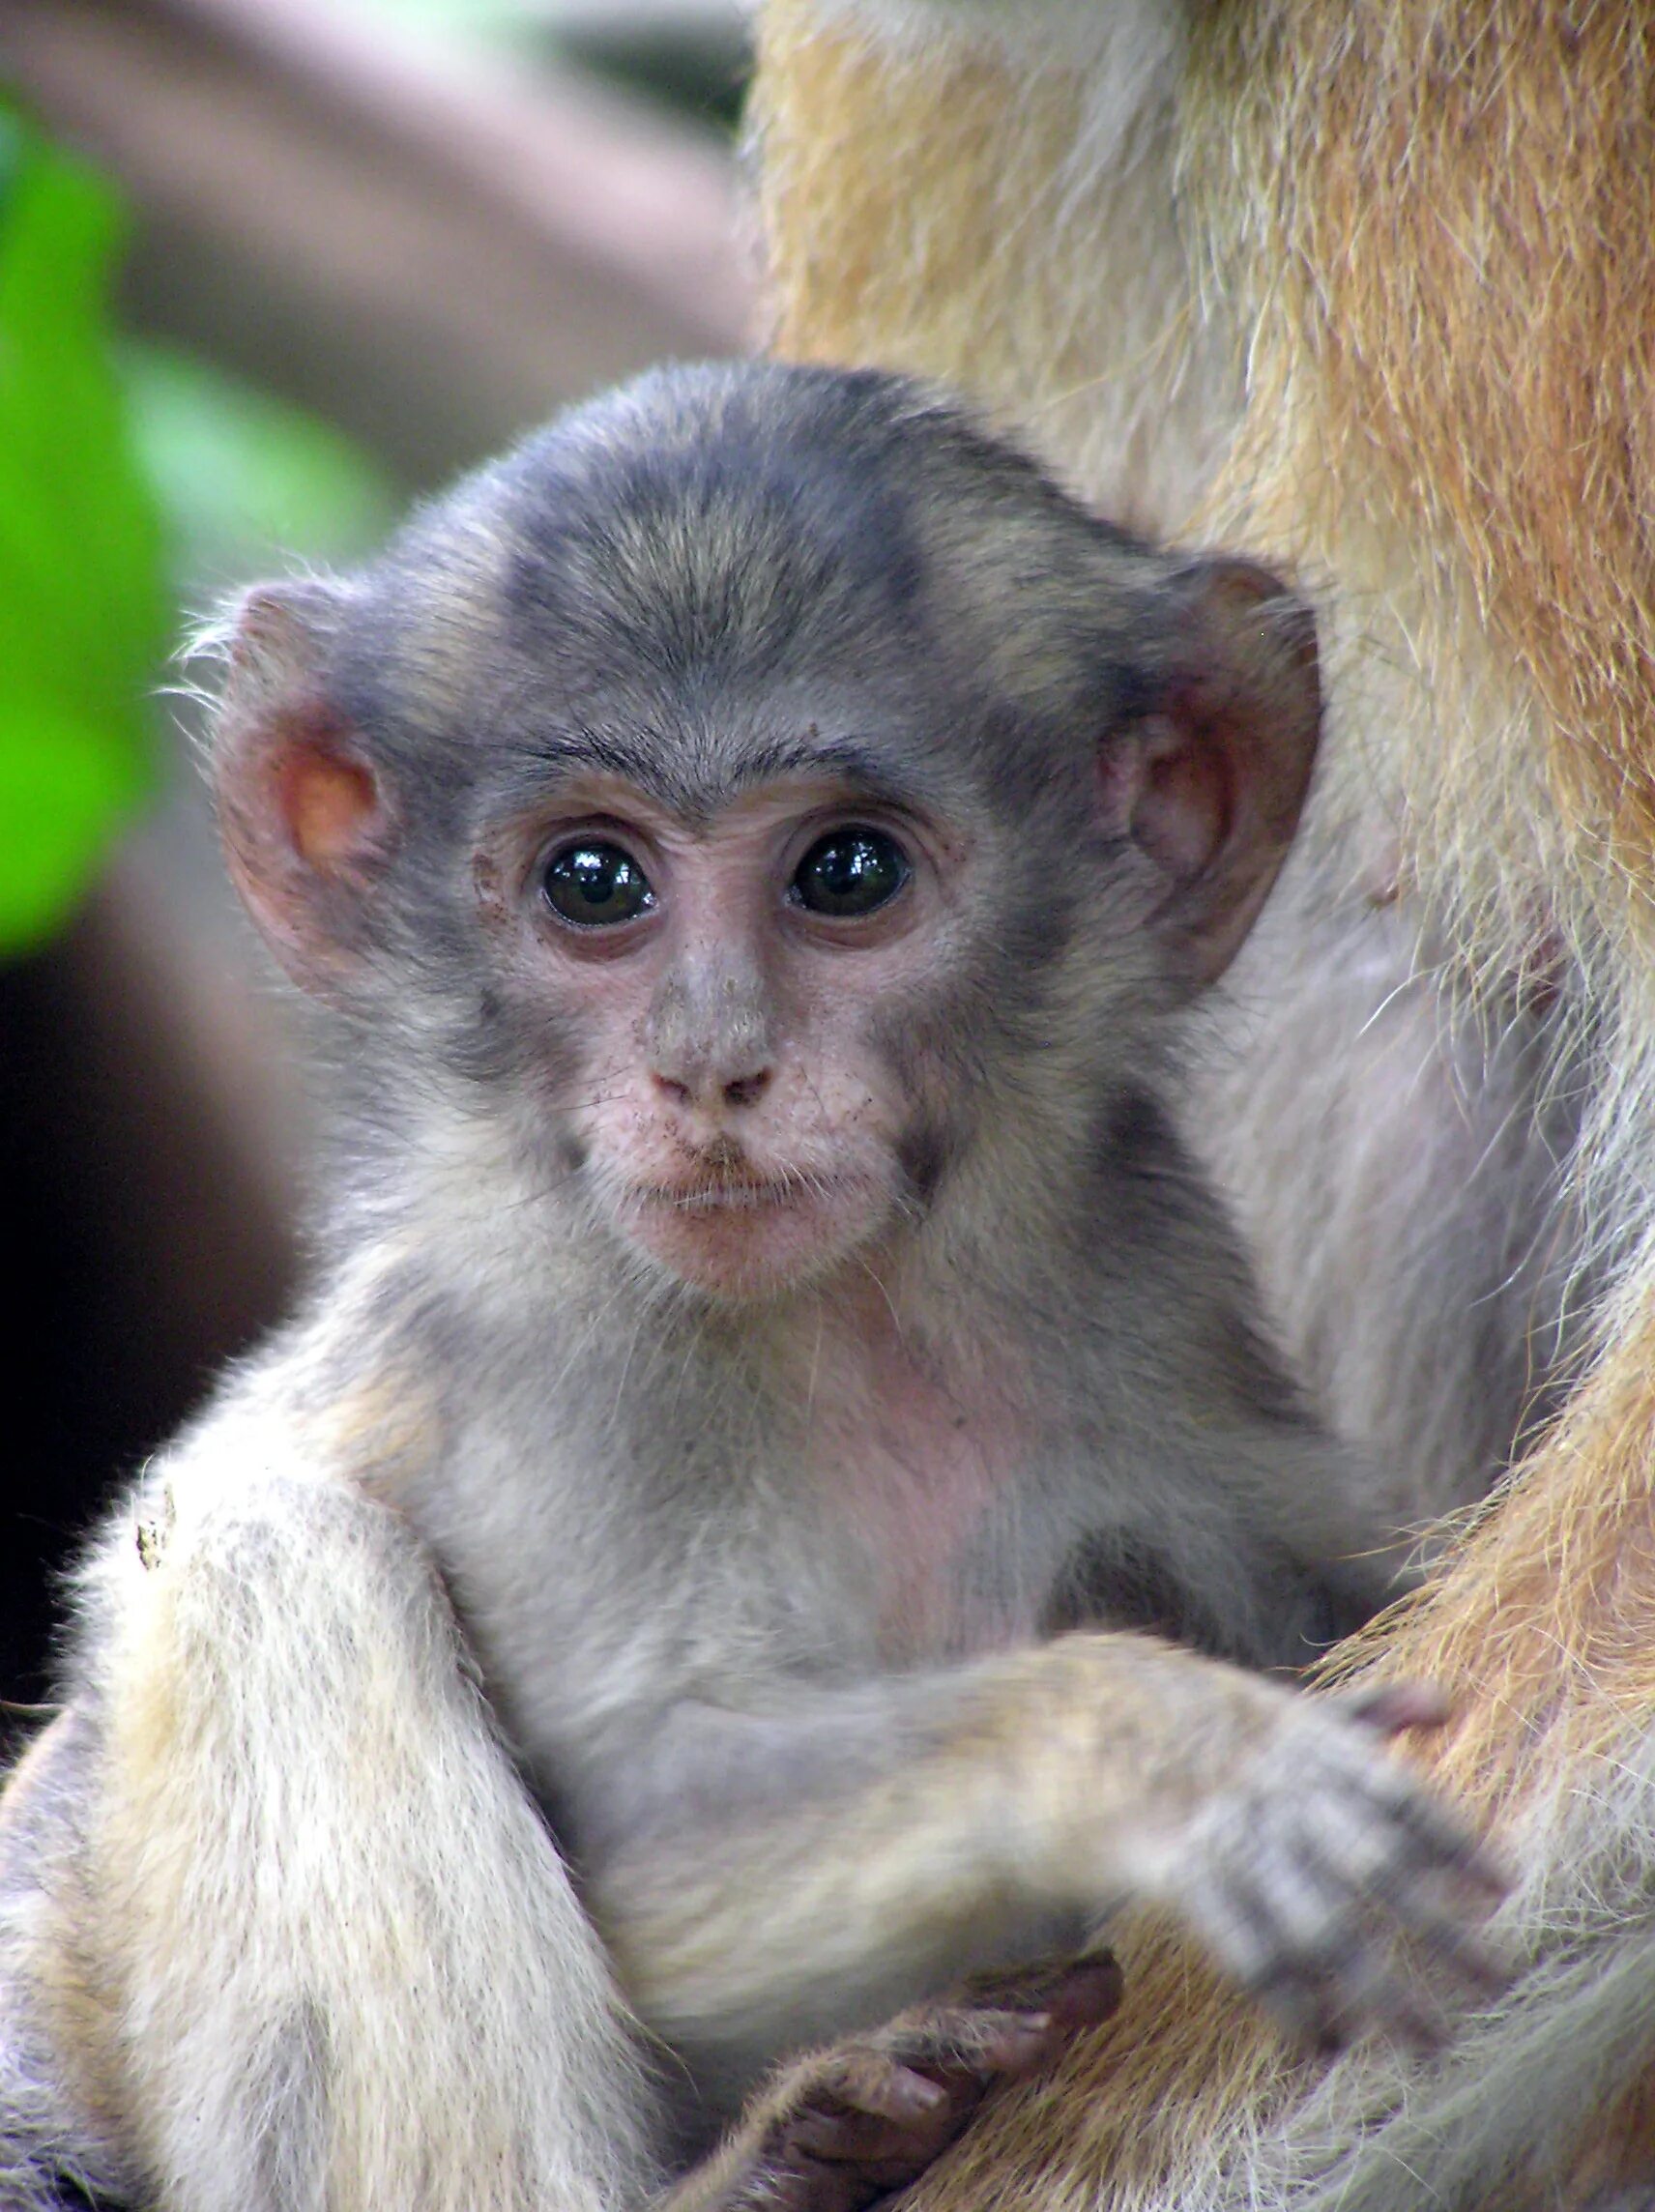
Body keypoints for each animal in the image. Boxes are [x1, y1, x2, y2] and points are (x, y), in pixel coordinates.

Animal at [0, 366, 1495, 2212]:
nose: (712, 1065)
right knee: (263, 1557)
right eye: (594, 882)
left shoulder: (1143, 1269)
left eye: (846, 873)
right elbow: (627, 1835)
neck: (860, 1324)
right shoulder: (561, 1349)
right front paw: (1148, 1747)